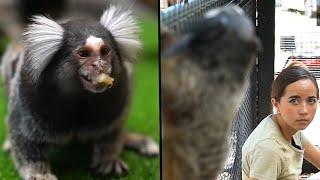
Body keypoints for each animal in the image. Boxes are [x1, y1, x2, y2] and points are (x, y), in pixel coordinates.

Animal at [0, 4, 159, 180]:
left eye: (105, 51)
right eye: (83, 53)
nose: (100, 65)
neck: (80, 98)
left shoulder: (120, 92)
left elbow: (111, 130)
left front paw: (108, 158)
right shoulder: (27, 97)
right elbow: (25, 137)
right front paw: (39, 173)